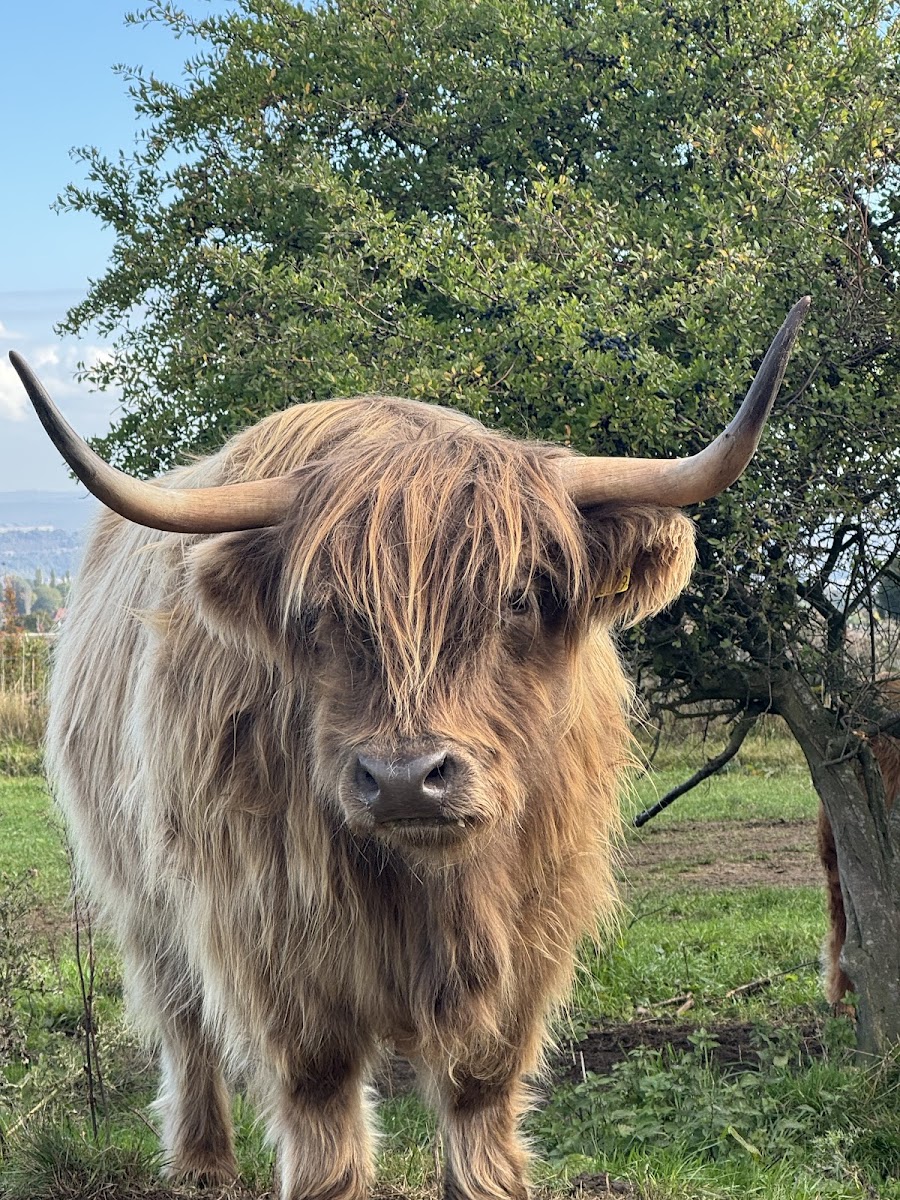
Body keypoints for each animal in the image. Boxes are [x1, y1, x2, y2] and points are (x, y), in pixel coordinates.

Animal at [9, 298, 807, 1200]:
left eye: (520, 596)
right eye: (320, 610)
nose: (403, 780)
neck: (428, 884)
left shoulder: (530, 933)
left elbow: (481, 1093)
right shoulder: (274, 936)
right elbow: (321, 1108)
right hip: (145, 899)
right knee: (184, 1024)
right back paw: (203, 1162)